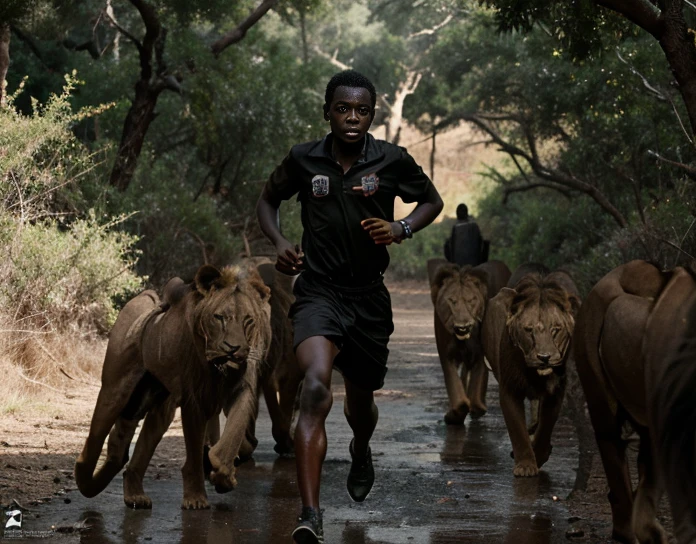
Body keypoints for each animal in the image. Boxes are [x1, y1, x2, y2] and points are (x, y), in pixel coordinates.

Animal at [75, 264, 272, 510]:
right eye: (219, 318)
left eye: (248, 320)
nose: (232, 348)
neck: (217, 367)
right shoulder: (193, 398)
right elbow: (194, 453)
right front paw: (196, 497)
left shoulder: (242, 389)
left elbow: (233, 433)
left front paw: (223, 476)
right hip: (115, 389)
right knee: (96, 437)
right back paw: (84, 479)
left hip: (158, 401)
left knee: (126, 439)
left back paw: (133, 493)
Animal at [482, 266, 580, 478]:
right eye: (528, 330)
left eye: (556, 329)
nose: (544, 357)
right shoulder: (509, 389)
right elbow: (517, 429)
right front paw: (525, 466)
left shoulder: (556, 390)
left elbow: (546, 426)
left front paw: (540, 455)